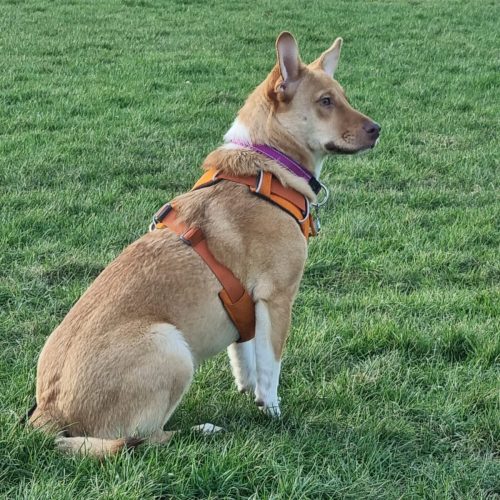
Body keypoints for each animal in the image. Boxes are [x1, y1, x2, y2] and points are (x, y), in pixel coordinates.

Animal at [28, 32, 378, 458]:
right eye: (325, 101)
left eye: (342, 96)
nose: (378, 129)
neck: (266, 166)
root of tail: (47, 413)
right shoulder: (278, 298)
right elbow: (271, 366)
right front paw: (272, 411)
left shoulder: (247, 305)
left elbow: (245, 355)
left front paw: (249, 393)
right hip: (172, 349)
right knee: (145, 438)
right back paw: (203, 431)